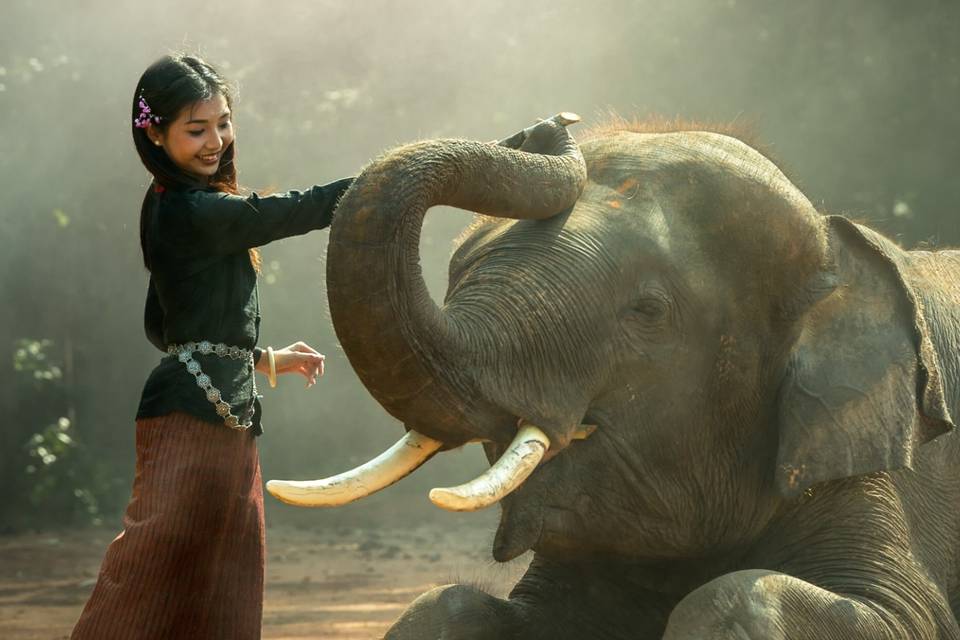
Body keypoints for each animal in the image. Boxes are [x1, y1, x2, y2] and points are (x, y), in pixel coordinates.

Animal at [266, 112, 960, 636]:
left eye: (648, 310)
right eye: (458, 272)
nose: (548, 124)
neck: (832, 244)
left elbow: (885, 613)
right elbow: (449, 609)